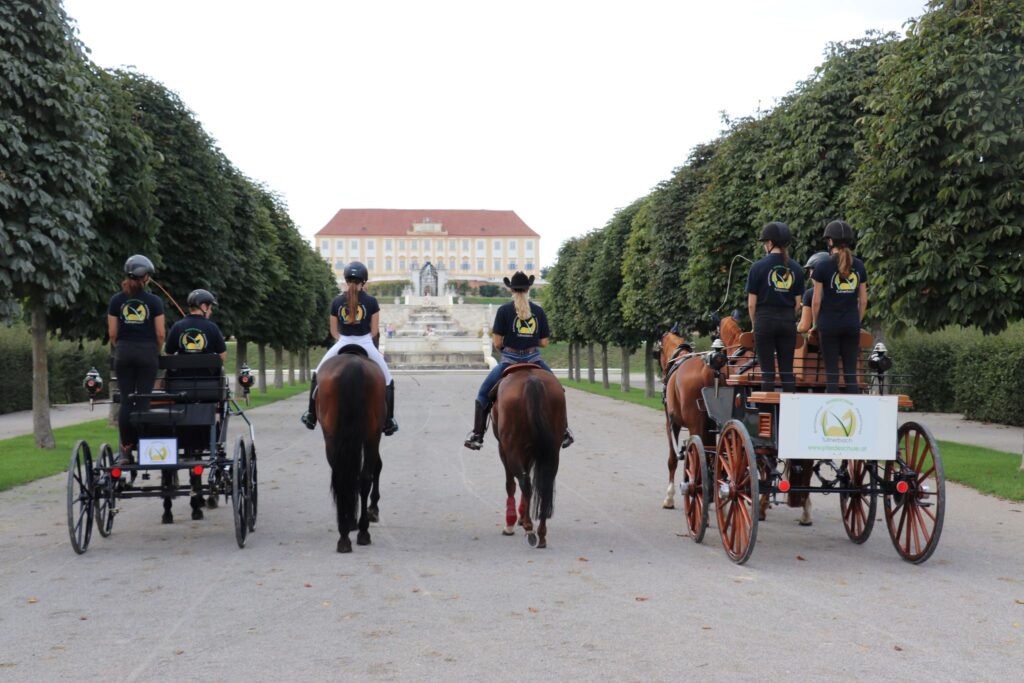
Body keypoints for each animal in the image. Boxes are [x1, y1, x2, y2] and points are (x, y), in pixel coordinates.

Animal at [313, 350, 385, 552]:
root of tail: (353, 364)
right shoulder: (373, 437)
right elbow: (377, 467)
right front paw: (371, 510)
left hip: (333, 437)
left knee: (344, 477)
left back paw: (348, 532)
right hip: (369, 436)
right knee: (360, 477)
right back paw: (358, 530)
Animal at [489, 366, 565, 548]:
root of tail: (532, 380)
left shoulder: (504, 449)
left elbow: (510, 484)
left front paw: (511, 523)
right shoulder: (530, 451)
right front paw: (522, 517)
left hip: (511, 447)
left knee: (524, 482)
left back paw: (529, 529)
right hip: (552, 451)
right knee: (544, 484)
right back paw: (541, 534)